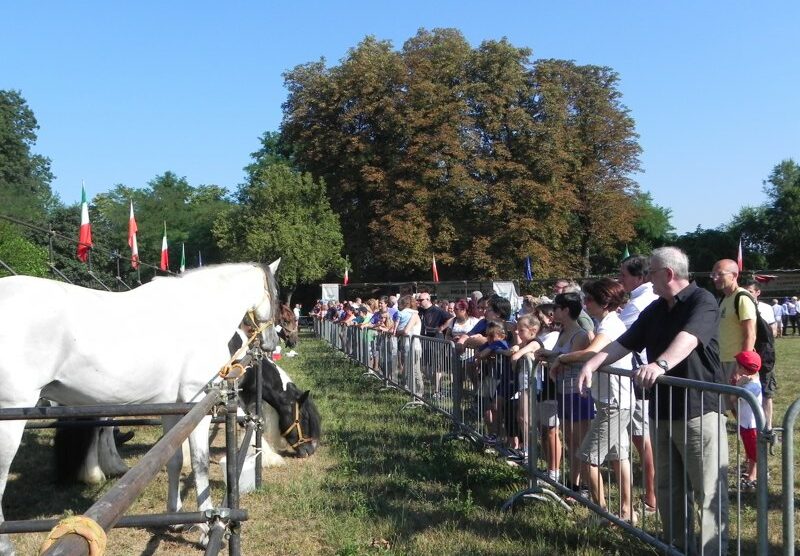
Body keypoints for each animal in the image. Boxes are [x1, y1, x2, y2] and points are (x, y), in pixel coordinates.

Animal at [0, 260, 284, 552]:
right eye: (276, 296)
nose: (272, 342)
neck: (197, 314)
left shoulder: (174, 410)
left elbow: (174, 460)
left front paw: (175, 517)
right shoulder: (198, 408)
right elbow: (200, 464)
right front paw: (206, 529)